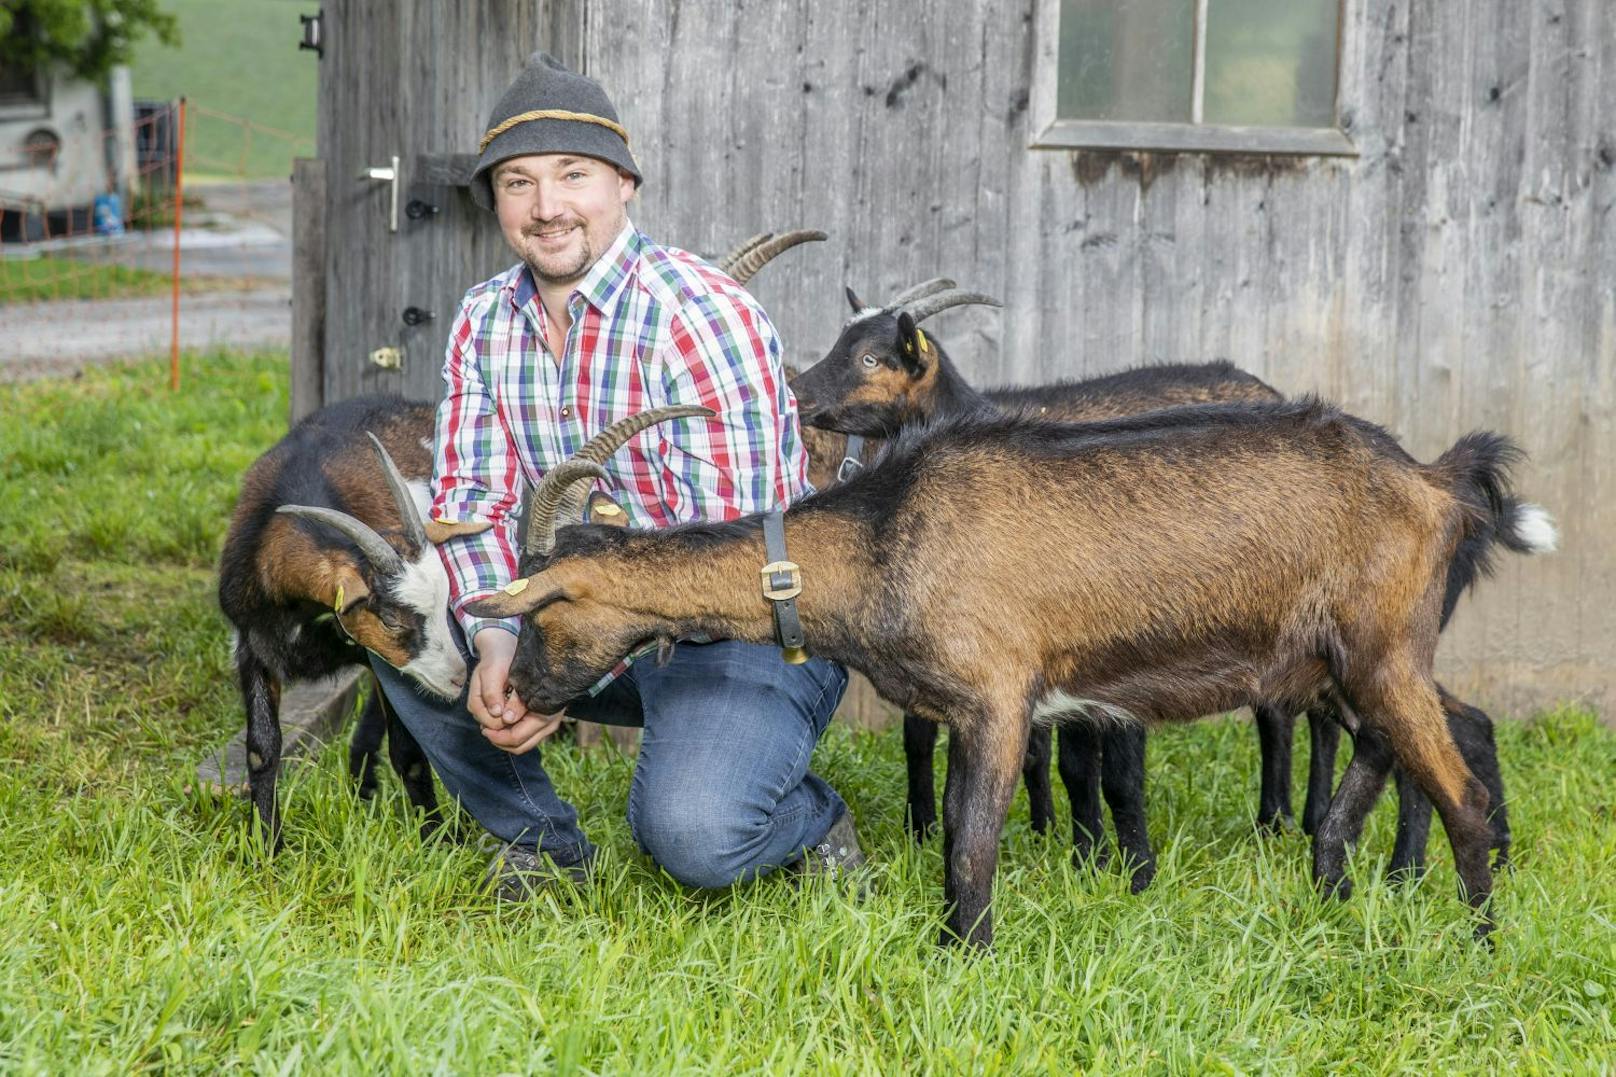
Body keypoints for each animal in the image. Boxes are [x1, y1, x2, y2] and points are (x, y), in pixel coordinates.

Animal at [471, 397, 1551, 944]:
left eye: (539, 612)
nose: (513, 698)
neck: (881, 537)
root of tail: (1434, 483)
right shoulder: (959, 711)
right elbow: (957, 829)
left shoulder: (997, 697)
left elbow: (972, 842)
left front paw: (965, 956)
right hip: (1347, 662)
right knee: (1408, 753)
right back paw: (1335, 900)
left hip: (1381, 650)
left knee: (1454, 785)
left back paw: (1475, 946)